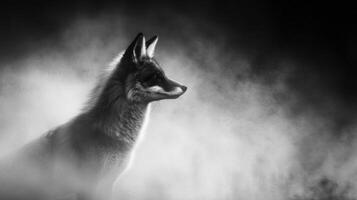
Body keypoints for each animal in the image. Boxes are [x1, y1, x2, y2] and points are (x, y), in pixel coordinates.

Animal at [0, 33, 186, 200]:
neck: (115, 136)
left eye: (164, 74)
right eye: (155, 77)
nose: (185, 87)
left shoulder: (108, 183)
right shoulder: (88, 185)